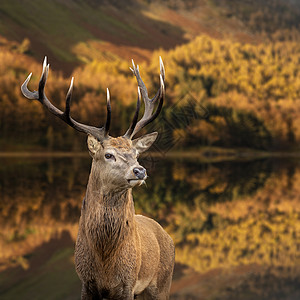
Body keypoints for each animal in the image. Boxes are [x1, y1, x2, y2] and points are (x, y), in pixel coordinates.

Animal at [21, 56, 175, 300]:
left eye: (136, 154)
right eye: (108, 154)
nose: (139, 171)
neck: (105, 264)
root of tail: (167, 235)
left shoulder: (128, 283)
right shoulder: (86, 282)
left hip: (162, 284)